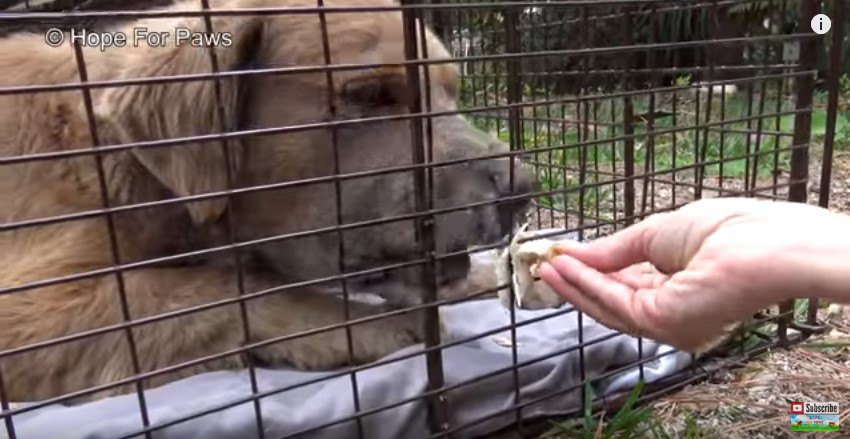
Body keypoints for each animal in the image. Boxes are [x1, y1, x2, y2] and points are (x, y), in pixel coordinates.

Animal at [0, 0, 528, 404]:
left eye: (451, 93)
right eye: (371, 94)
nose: (522, 187)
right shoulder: (27, 307)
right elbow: (226, 288)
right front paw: (377, 324)